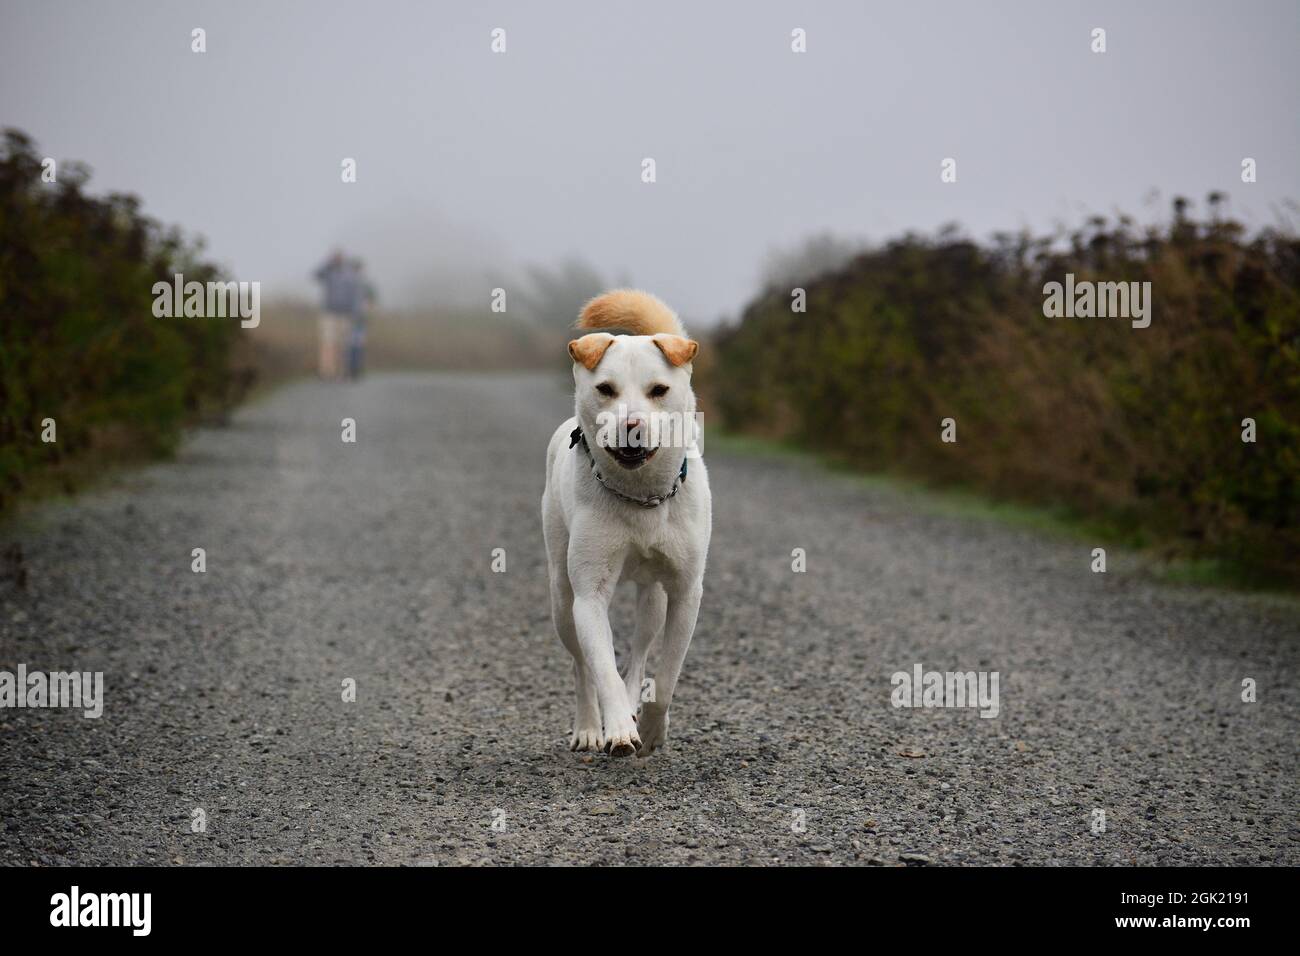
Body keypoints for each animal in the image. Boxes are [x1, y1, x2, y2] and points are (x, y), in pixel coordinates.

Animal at [543, 290, 717, 754]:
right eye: (606, 389)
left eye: (659, 390)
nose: (631, 427)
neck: (641, 497)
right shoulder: (589, 595)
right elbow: (602, 669)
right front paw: (619, 728)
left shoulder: (685, 592)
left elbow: (668, 674)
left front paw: (654, 727)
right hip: (561, 597)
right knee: (580, 666)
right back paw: (589, 726)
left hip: (651, 594)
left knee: (640, 652)